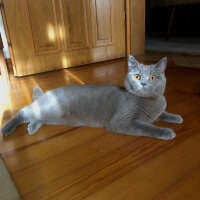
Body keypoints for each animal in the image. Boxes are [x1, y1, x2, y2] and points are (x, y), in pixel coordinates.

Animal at [1, 55, 183, 140]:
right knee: (23, 111)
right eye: (137, 76)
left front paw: (175, 117)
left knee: (35, 116)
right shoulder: (122, 120)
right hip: (48, 108)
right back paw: (7, 129)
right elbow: (146, 126)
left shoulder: (157, 110)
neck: (150, 101)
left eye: (152, 77)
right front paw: (166, 131)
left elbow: (163, 114)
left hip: (48, 113)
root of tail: (47, 93)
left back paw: (32, 127)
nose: (143, 83)